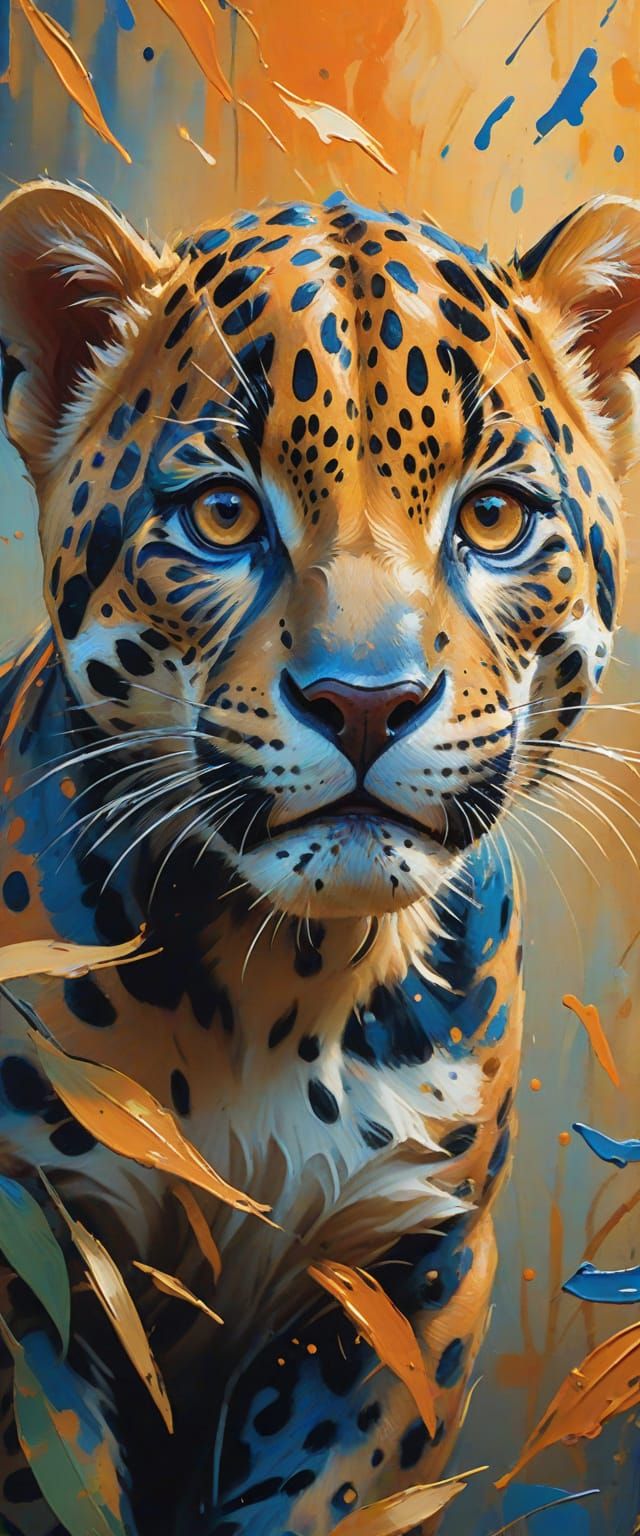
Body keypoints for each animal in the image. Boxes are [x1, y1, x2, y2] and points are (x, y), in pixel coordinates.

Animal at [0, 179, 637, 1536]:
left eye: (492, 516)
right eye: (223, 512)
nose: (363, 702)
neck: (286, 984)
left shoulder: (410, 1269)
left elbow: (313, 1501)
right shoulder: (40, 1248)